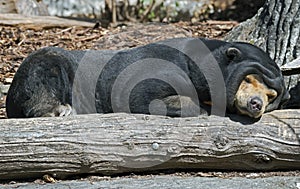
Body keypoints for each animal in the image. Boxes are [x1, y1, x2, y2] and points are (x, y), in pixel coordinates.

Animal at [5, 37, 290, 118]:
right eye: (249, 80)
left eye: (271, 94)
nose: (256, 104)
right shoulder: (168, 66)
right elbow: (139, 94)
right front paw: (201, 108)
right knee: (45, 65)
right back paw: (60, 109)